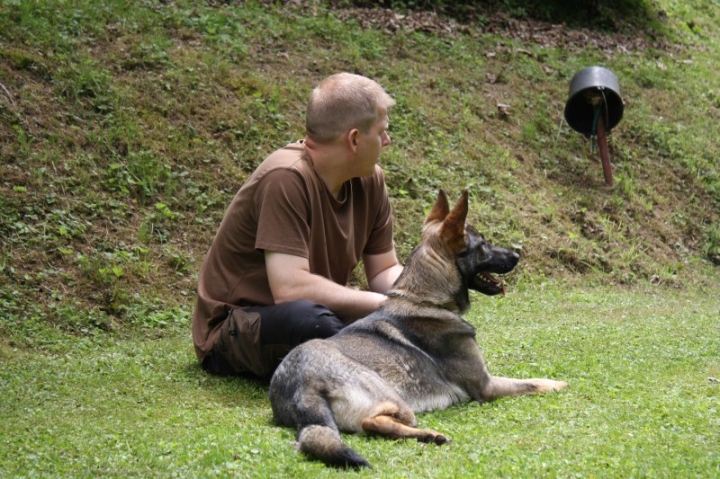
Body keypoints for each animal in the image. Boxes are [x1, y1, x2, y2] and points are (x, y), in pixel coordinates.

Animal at [268, 190, 564, 468]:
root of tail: (300, 383)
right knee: (372, 423)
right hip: (395, 398)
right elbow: (532, 382)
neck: (424, 299)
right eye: (483, 245)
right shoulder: (486, 386)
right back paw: (429, 434)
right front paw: (558, 383)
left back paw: (428, 436)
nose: (517, 255)